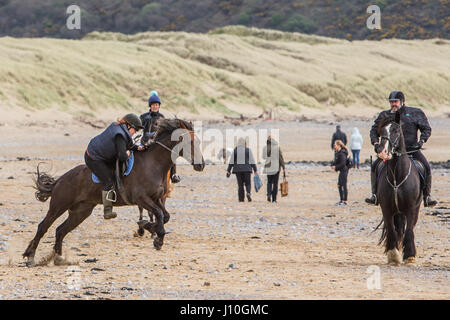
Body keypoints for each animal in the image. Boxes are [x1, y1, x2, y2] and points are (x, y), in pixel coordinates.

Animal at [21, 119, 204, 266]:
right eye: (189, 142)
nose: (201, 165)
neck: (154, 164)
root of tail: (60, 180)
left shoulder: (157, 198)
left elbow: (165, 216)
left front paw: (149, 228)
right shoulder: (141, 199)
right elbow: (159, 214)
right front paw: (155, 236)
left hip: (81, 211)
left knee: (60, 230)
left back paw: (58, 258)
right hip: (59, 205)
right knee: (43, 226)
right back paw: (30, 257)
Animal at [376, 112, 422, 264]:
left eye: (396, 130)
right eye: (382, 131)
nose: (383, 152)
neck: (397, 177)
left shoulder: (411, 208)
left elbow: (409, 231)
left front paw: (410, 256)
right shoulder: (386, 208)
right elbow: (391, 230)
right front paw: (393, 255)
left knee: (409, 228)